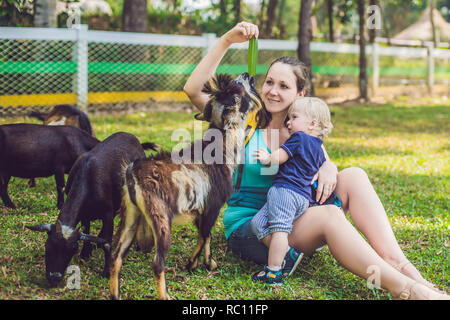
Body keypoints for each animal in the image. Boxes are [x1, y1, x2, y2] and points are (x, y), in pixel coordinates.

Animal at [26, 131, 160, 286]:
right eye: (48, 246)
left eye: (72, 249)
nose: (54, 277)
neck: (88, 178)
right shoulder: (86, 214)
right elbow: (87, 230)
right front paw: (85, 253)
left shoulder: (107, 214)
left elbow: (107, 242)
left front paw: (106, 271)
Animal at [110, 74, 264, 302]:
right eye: (238, 91)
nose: (246, 75)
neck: (222, 151)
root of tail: (132, 172)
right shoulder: (213, 204)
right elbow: (204, 234)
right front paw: (193, 263)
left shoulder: (201, 209)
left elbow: (206, 234)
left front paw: (208, 263)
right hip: (160, 217)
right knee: (157, 263)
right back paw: (165, 295)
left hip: (130, 214)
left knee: (116, 256)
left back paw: (115, 294)